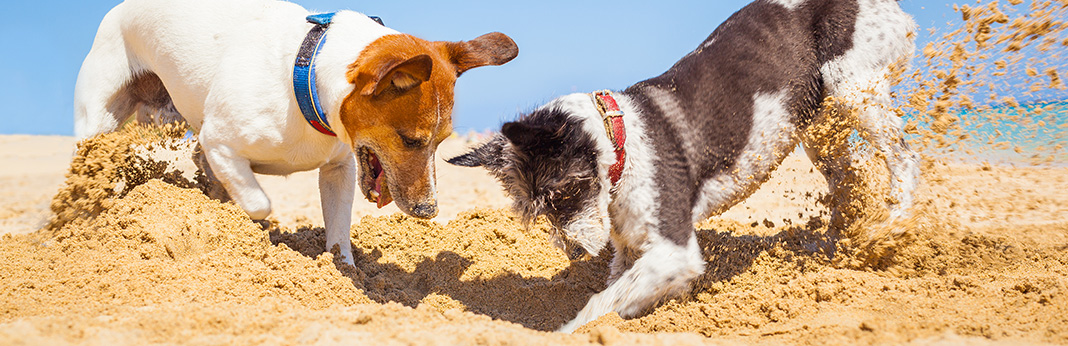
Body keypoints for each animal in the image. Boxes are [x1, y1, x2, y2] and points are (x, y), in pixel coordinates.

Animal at [73, 0, 514, 263]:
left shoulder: (339, 169)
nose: (429, 211)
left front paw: (343, 270)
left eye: (442, 142)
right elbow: (258, 203)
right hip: (98, 120)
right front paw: (245, 228)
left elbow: (338, 232)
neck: (306, 76)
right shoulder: (219, 142)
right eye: (410, 140)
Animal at [450, 0, 918, 333]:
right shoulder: (631, 249)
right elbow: (621, 290)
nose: (575, 252)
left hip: (853, 86)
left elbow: (600, 304)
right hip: (817, 124)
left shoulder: (675, 250)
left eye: (563, 192)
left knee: (905, 158)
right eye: (536, 209)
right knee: (848, 176)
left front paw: (567, 332)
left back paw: (892, 226)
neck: (623, 142)